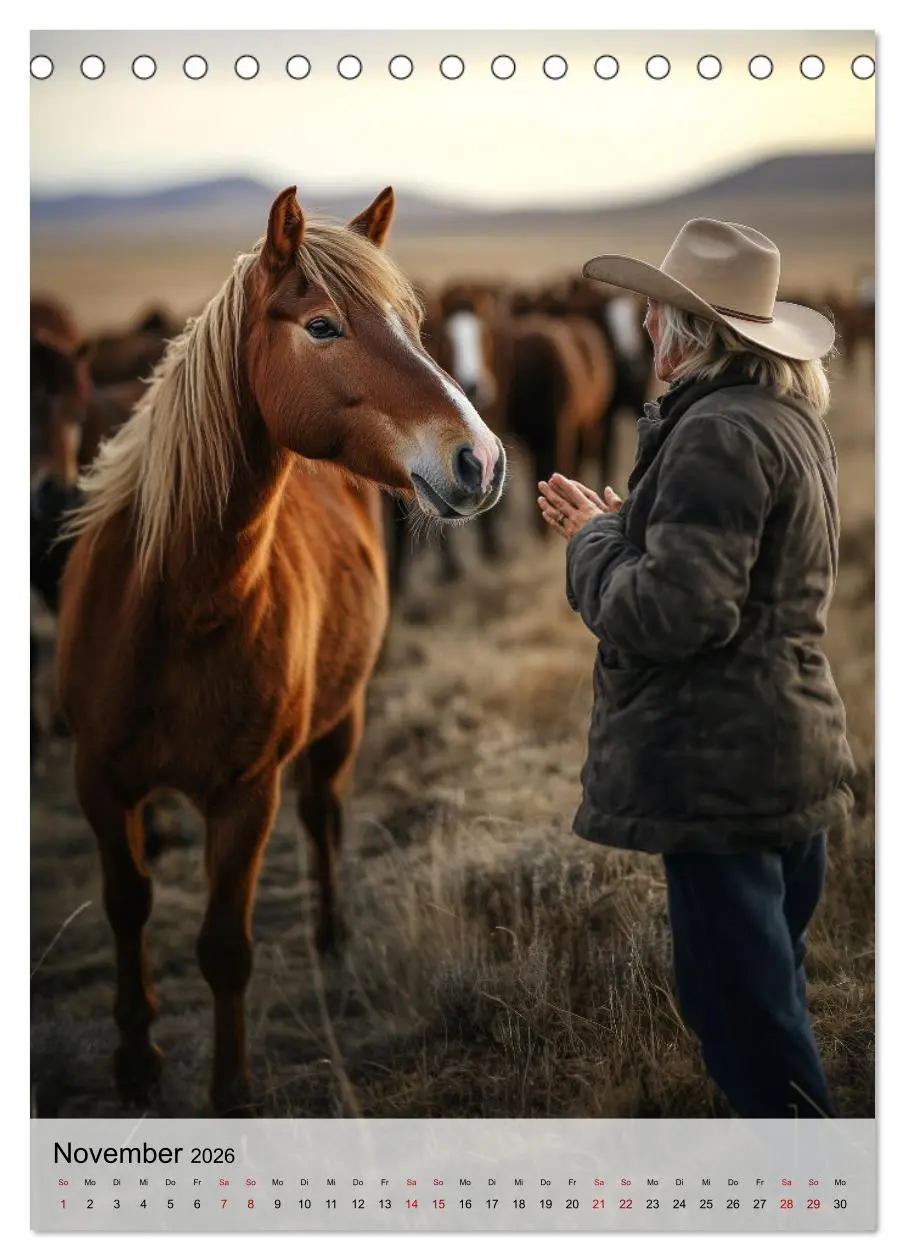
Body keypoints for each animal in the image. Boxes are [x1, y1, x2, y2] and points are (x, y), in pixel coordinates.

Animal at [55, 185, 506, 1116]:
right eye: (323, 326)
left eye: (414, 322)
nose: (480, 459)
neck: (180, 606)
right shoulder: (98, 778)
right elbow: (126, 904)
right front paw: (135, 1058)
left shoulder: (245, 794)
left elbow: (225, 946)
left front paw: (230, 1091)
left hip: (341, 720)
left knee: (323, 812)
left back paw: (332, 938)